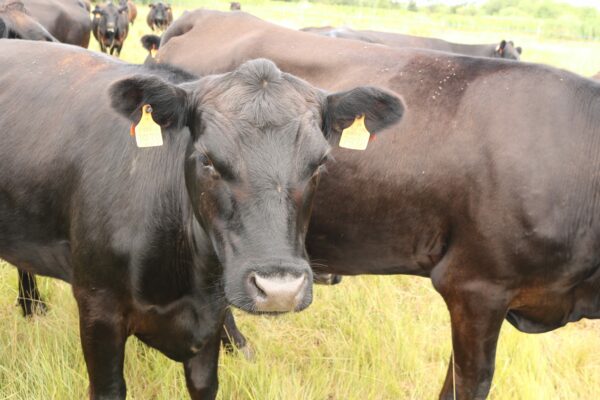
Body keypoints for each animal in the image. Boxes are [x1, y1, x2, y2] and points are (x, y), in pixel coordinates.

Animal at [0, 40, 404, 400]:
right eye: (207, 159)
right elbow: (109, 388)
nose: (279, 290)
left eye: (320, 162)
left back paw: (31, 306)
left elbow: (205, 384)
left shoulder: (210, 319)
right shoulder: (98, 309)